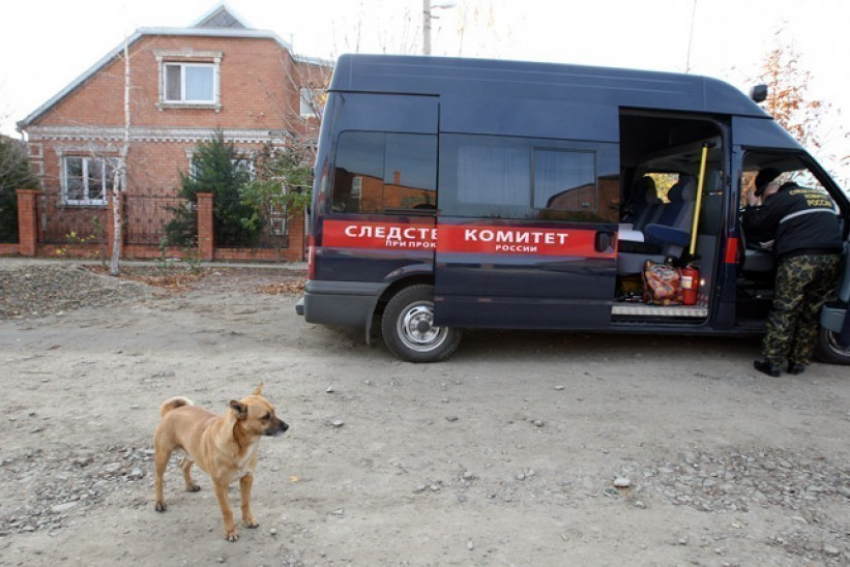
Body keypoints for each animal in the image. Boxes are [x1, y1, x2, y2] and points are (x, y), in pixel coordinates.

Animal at [151, 382, 286, 540]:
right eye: (265, 417)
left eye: (274, 411)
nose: (287, 426)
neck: (239, 446)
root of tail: (172, 411)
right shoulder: (220, 486)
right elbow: (227, 510)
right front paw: (230, 531)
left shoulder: (247, 478)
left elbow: (245, 502)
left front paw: (248, 520)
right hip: (163, 456)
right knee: (159, 479)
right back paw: (160, 503)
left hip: (193, 454)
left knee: (183, 465)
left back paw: (190, 485)